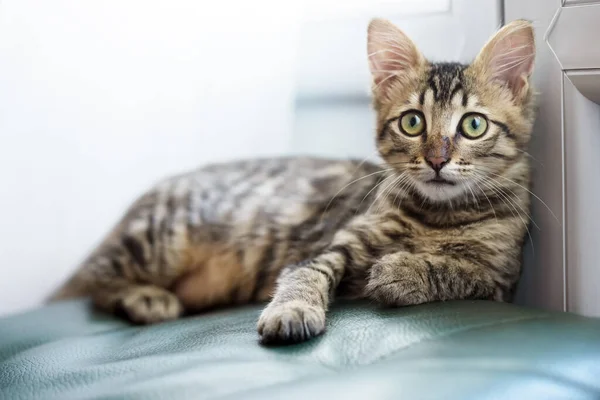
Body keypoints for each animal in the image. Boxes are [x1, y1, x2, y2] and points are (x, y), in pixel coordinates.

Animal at [50, 18, 536, 344]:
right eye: (413, 122)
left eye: (473, 125)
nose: (437, 159)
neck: (438, 216)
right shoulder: (331, 244)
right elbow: (304, 275)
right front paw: (292, 310)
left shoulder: (501, 280)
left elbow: (460, 271)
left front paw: (403, 271)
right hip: (159, 242)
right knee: (95, 284)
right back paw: (145, 299)